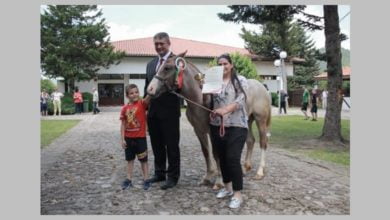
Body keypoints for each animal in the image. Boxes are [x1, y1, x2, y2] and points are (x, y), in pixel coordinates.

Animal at [146, 51, 272, 189]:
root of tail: (261, 86)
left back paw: (260, 172)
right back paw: (245, 169)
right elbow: (206, 152)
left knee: (263, 142)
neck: (200, 99)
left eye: (167, 68)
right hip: (247, 120)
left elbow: (216, 153)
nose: (150, 89)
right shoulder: (198, 130)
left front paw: (219, 180)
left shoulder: (213, 131)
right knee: (250, 141)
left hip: (260, 120)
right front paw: (207, 177)